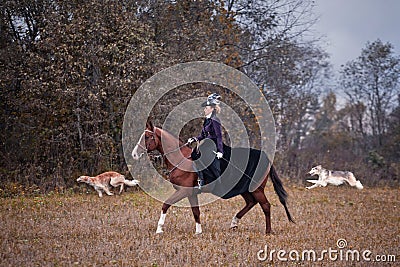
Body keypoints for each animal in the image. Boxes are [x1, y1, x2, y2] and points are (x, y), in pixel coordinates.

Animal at [132, 121, 294, 234]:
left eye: (147, 136)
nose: (134, 154)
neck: (181, 159)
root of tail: (267, 159)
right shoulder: (191, 193)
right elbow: (196, 211)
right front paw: (198, 231)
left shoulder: (183, 191)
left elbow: (166, 204)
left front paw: (159, 228)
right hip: (246, 190)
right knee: (251, 203)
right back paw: (234, 223)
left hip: (257, 189)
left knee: (265, 206)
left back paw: (268, 231)